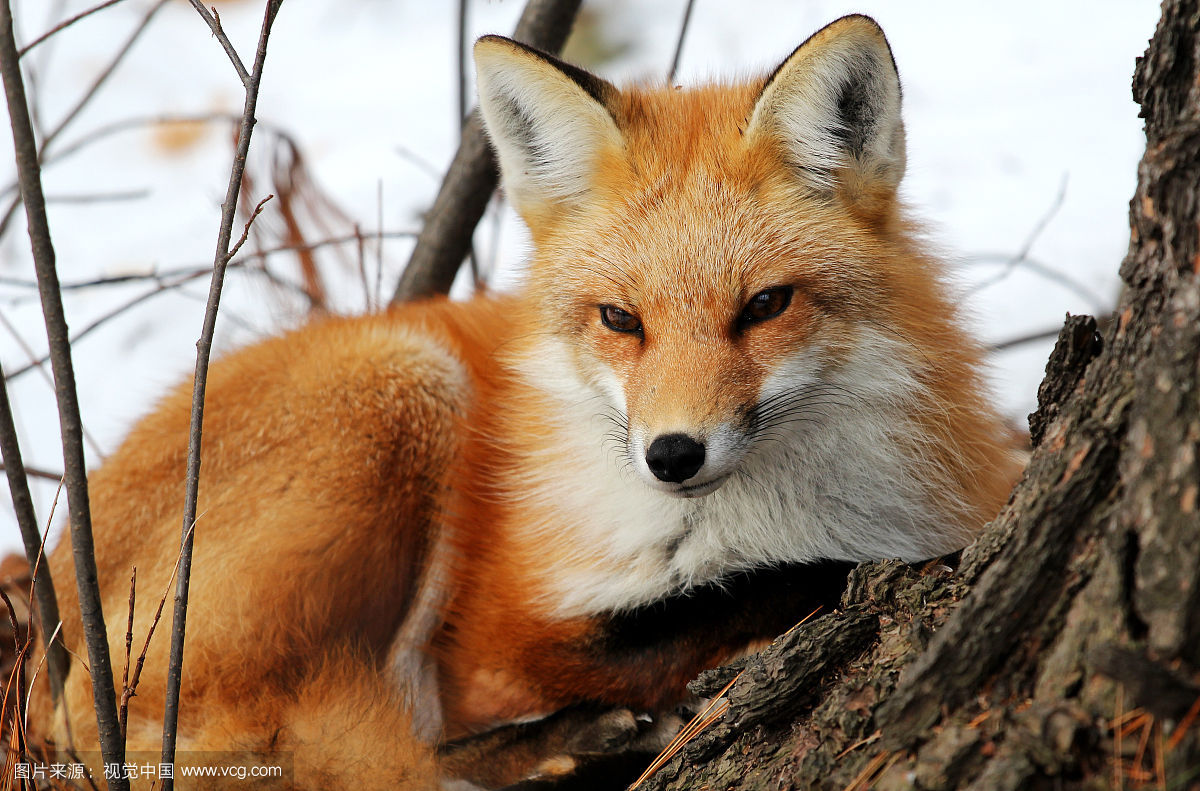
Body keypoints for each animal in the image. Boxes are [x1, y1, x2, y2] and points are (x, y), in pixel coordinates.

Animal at [23, 13, 1022, 791]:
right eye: (621, 319)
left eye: (765, 306)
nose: (673, 454)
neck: (753, 523)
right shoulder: (500, 645)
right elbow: (745, 600)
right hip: (402, 393)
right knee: (308, 752)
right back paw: (573, 746)